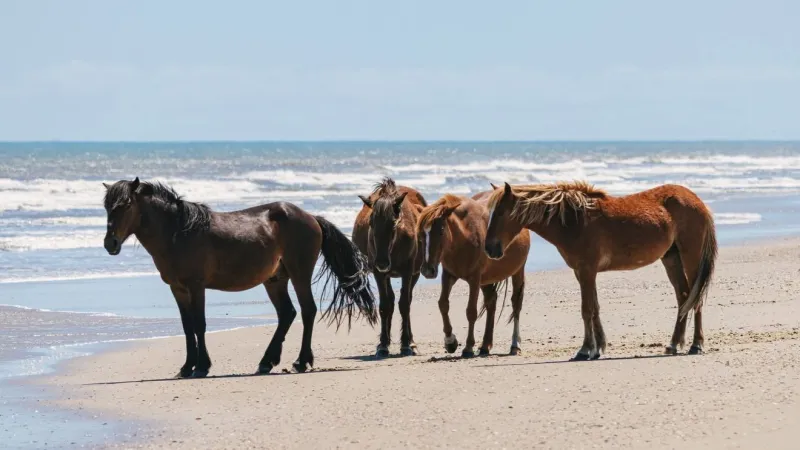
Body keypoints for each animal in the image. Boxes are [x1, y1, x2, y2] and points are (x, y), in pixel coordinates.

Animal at [102, 177, 376, 378]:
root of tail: (312, 218)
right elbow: (187, 326)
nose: (110, 243)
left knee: (307, 310)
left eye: (126, 205)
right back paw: (267, 362)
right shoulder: (178, 289)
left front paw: (202, 367)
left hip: (299, 273)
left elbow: (199, 324)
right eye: (107, 207)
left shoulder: (196, 286)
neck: (178, 233)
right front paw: (186, 367)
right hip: (275, 280)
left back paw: (300, 362)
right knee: (287, 313)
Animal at [352, 178, 427, 358]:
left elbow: (405, 304)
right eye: (371, 223)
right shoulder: (379, 274)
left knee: (406, 301)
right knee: (391, 301)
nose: (382, 262)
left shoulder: (408, 272)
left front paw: (406, 344)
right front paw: (383, 344)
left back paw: (411, 342)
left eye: (393, 224)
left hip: (414, 274)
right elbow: (385, 306)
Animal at [417, 190, 531, 357]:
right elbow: (443, 304)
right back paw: (485, 345)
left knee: (516, 302)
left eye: (441, 230)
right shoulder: (448, 275)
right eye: (421, 234)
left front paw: (468, 346)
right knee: (491, 301)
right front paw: (450, 341)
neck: (463, 236)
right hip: (487, 279)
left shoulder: (474, 279)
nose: (427, 270)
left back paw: (515, 344)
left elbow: (471, 311)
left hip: (517, 270)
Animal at [484, 181, 717, 361]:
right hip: (671, 258)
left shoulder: (587, 270)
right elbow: (593, 308)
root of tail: (698, 202)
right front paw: (597, 348)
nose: (489, 248)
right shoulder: (582, 272)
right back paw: (674, 344)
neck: (575, 221)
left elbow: (587, 309)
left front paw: (585, 350)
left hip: (691, 257)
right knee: (684, 296)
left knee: (695, 297)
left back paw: (696, 345)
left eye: (501, 213)